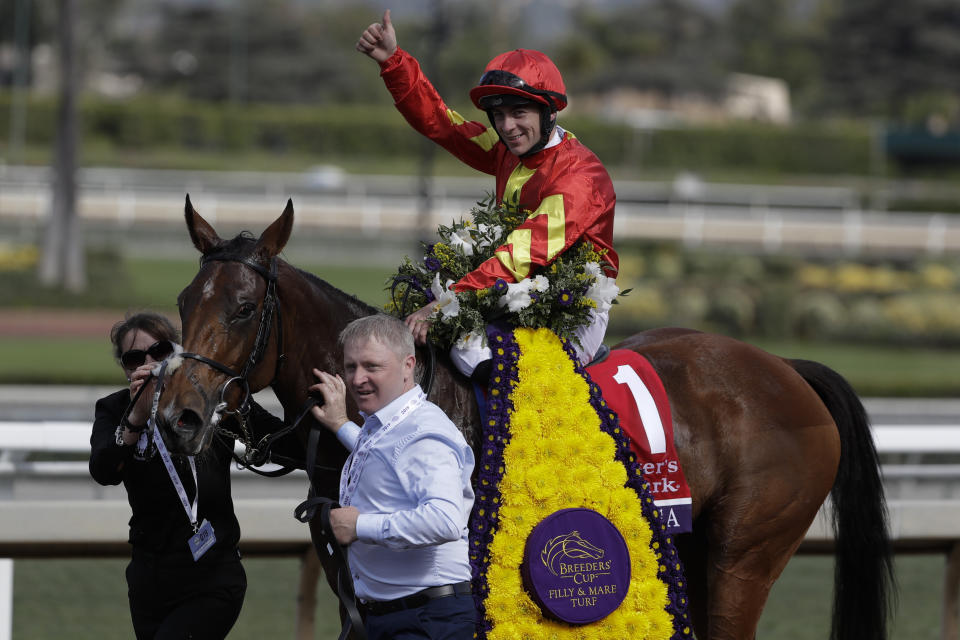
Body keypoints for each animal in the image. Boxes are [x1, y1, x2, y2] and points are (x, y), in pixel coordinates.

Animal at [158, 199, 892, 640]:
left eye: (244, 308)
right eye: (185, 299)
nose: (178, 415)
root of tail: (788, 369)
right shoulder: (352, 587)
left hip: (746, 551)